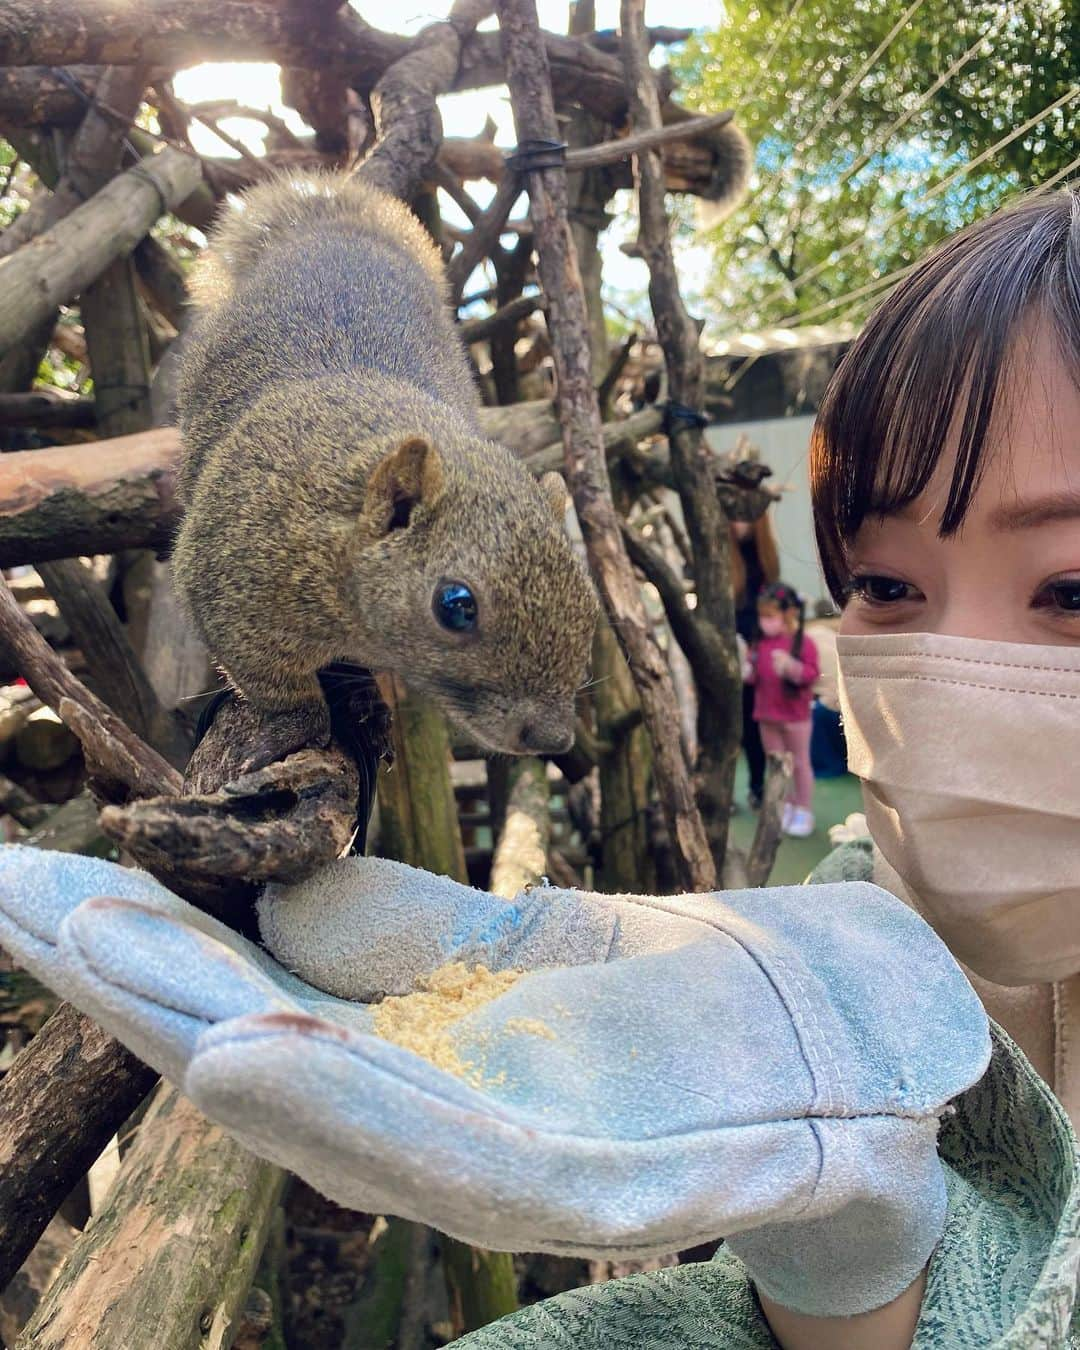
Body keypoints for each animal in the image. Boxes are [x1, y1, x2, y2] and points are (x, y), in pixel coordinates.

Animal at [175, 172, 599, 766]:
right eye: (456, 607)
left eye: (591, 602)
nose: (552, 738)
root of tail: (334, 229)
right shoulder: (230, 577)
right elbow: (274, 683)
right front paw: (294, 726)